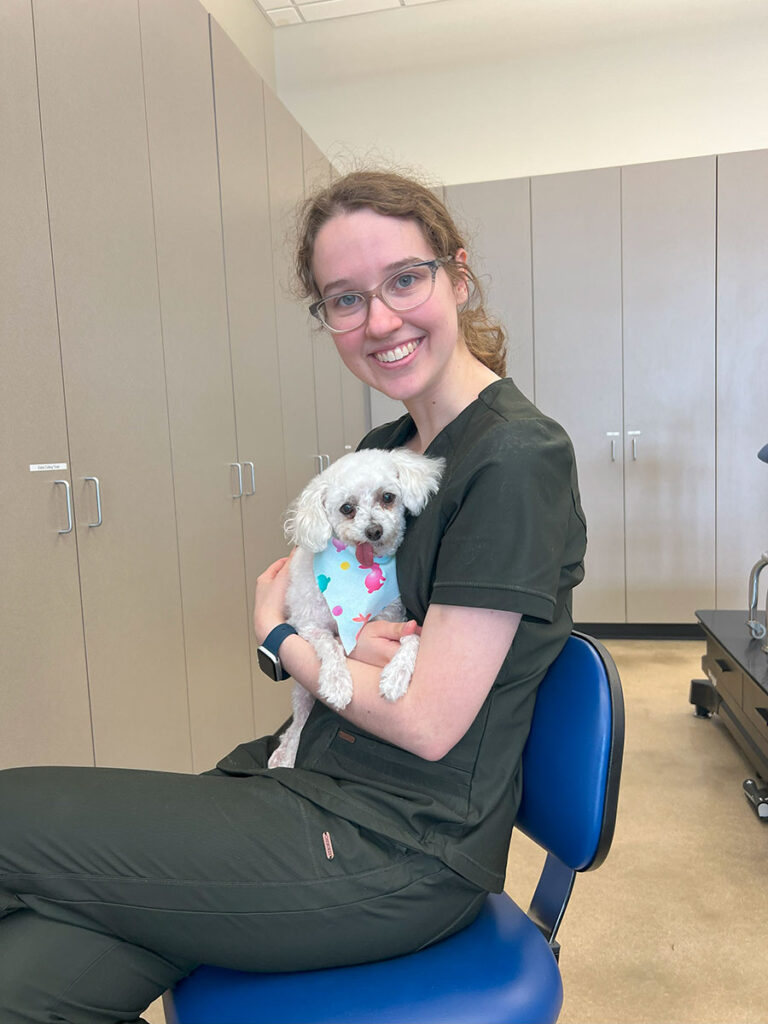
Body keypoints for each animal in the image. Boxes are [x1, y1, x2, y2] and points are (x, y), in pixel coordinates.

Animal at [268, 448, 444, 770]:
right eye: (347, 508)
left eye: (387, 497)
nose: (374, 530)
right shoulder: (308, 626)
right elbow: (331, 645)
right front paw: (337, 683)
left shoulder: (394, 618)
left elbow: (413, 638)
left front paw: (395, 677)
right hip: (302, 690)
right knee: (297, 727)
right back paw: (285, 754)